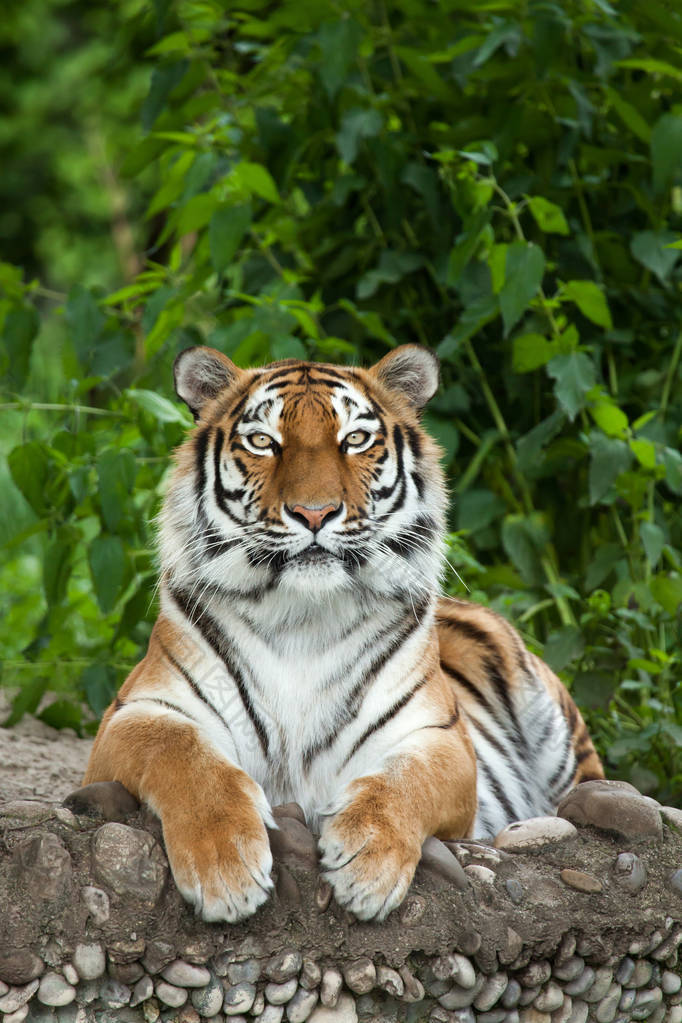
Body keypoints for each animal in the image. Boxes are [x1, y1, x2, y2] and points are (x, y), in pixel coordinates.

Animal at [84, 343, 603, 924]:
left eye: (354, 439)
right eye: (263, 441)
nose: (315, 513)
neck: (301, 618)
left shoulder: (438, 738)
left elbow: (404, 781)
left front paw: (367, 864)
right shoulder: (133, 715)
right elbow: (183, 756)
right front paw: (224, 867)